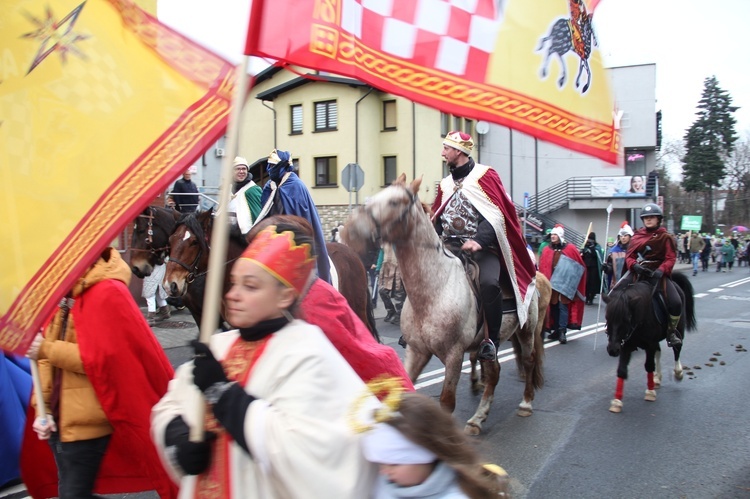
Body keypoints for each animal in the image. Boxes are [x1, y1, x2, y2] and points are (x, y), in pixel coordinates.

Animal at [346, 175, 552, 434]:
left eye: (395, 202)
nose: (349, 232)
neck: (434, 290)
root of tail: (534, 272)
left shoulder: (454, 355)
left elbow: (446, 402)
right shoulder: (417, 351)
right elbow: (404, 390)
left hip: (526, 330)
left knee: (529, 360)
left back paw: (525, 404)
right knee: (494, 373)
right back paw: (477, 419)